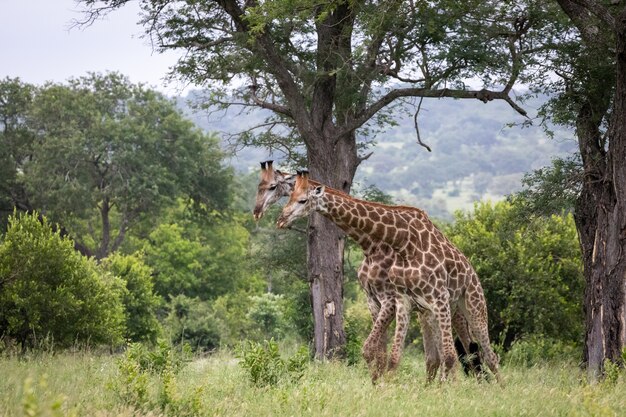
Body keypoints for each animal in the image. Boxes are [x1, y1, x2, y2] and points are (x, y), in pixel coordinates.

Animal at [254, 161, 478, 382]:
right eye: (259, 186)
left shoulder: (388, 299)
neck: (371, 246)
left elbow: (373, 349)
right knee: (444, 353)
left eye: (272, 186)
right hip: (428, 311)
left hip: (451, 308)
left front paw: (380, 383)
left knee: (466, 347)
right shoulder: (375, 300)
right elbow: (379, 352)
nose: (259, 212)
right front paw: (377, 382)